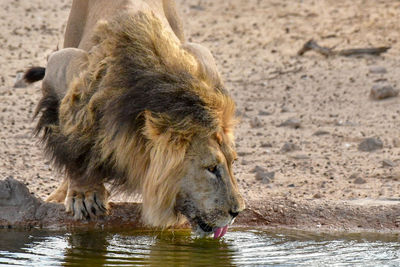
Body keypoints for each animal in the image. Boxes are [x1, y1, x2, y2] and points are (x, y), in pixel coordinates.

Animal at [25, 0, 245, 239]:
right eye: (211, 168)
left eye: (233, 162)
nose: (237, 212)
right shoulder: (61, 66)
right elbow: (73, 145)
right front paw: (85, 194)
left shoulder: (201, 57)